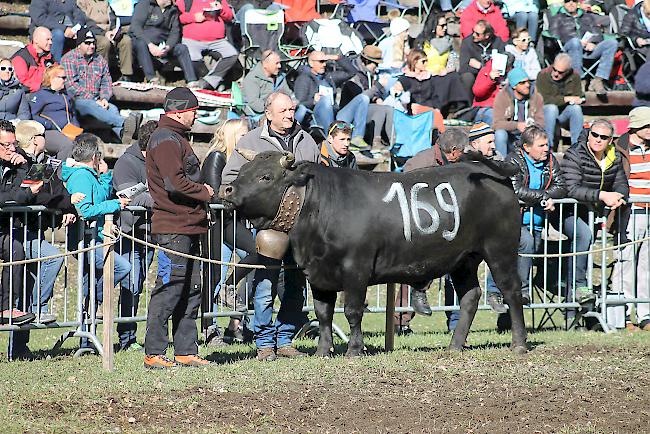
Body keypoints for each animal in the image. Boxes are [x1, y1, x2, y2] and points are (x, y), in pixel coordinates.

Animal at [219, 151, 528, 354]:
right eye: (243, 169)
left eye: (266, 176)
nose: (227, 189)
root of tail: (493, 172)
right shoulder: (318, 273)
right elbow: (323, 313)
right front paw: (323, 351)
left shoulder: (356, 267)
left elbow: (353, 311)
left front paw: (355, 349)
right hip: (464, 259)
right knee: (470, 297)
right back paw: (454, 347)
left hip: (499, 250)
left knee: (512, 292)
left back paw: (519, 344)